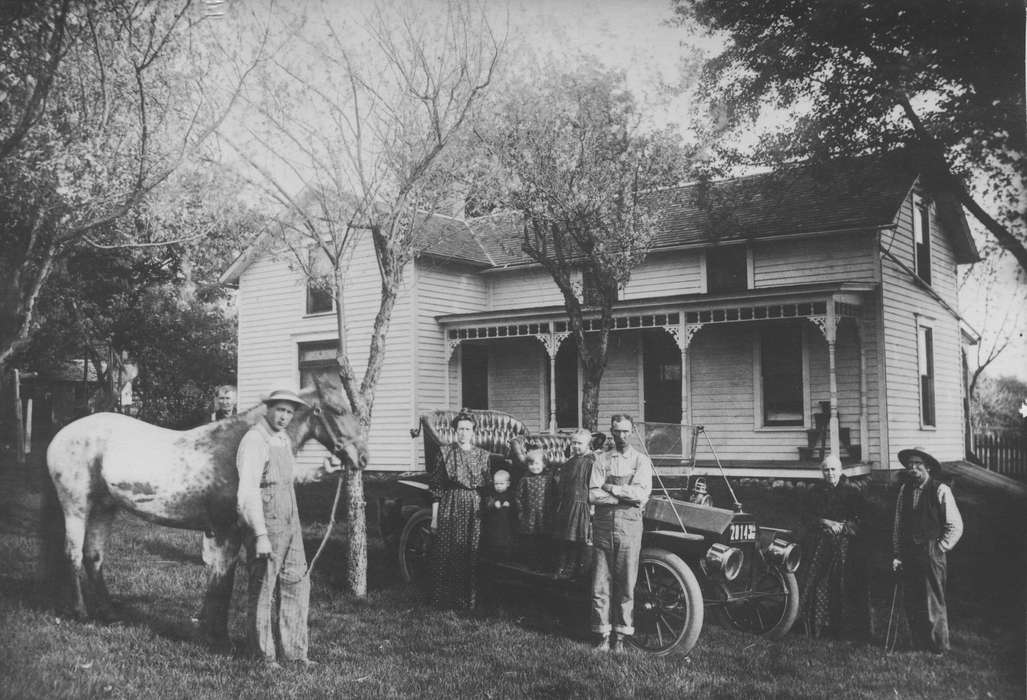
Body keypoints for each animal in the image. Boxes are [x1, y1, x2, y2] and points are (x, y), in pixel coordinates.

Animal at [49, 373, 369, 640]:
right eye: (338, 411)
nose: (362, 458)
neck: (238, 446)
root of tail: (60, 436)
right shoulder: (227, 530)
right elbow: (222, 581)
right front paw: (216, 637)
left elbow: (221, 580)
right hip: (76, 507)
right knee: (73, 554)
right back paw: (80, 613)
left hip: (105, 508)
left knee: (94, 557)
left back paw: (110, 614)